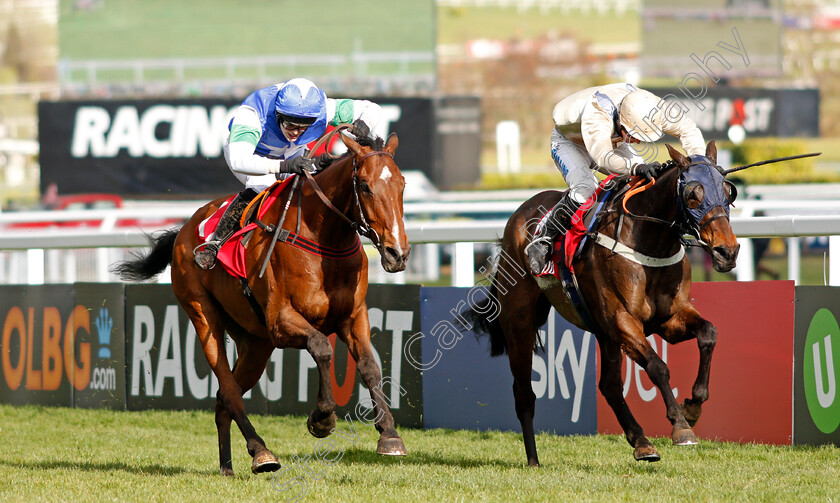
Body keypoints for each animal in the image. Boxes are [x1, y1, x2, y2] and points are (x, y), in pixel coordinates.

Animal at [111, 131, 414, 476]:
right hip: (203, 315)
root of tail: (185, 229)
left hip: (255, 344)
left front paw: (389, 436)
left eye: (402, 184)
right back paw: (261, 452)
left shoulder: (354, 316)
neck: (325, 242)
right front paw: (322, 419)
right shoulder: (280, 321)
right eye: (364, 185)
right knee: (229, 390)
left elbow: (370, 367)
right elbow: (322, 347)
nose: (396, 253)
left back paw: (227, 467)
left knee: (222, 398)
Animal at [466, 141, 740, 464]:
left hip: (603, 331)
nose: (727, 251)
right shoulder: (623, 320)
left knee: (608, 386)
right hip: (520, 324)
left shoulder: (669, 318)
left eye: (728, 191)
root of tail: (517, 218)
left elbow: (708, 333)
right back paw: (533, 460)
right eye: (692, 195)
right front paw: (681, 427)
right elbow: (658, 367)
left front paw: (693, 406)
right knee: (524, 394)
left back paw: (641, 442)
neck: (650, 242)